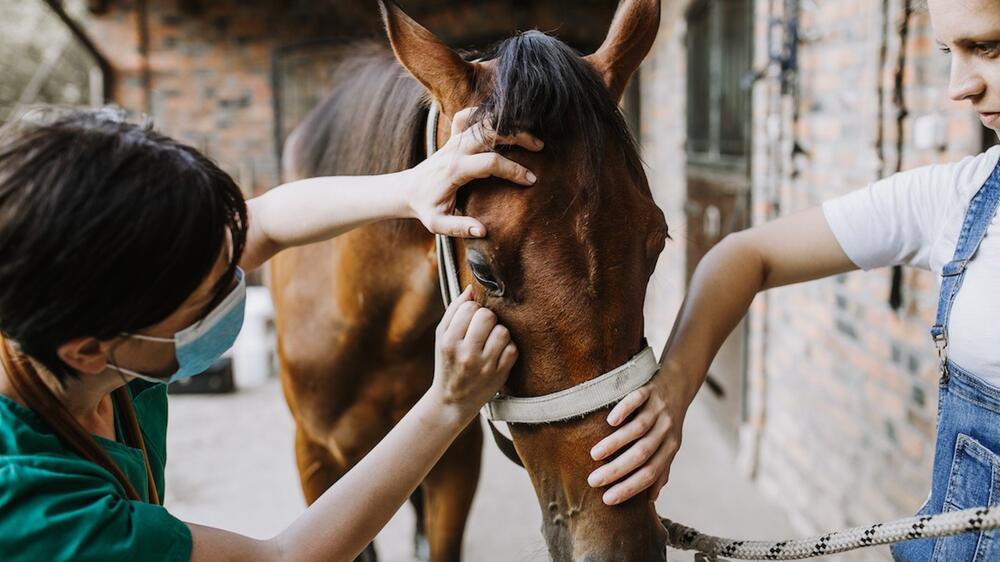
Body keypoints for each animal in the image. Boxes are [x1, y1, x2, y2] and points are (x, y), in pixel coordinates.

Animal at [270, 2, 668, 556]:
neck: (368, 315)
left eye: (659, 240)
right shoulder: (314, 460)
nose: (622, 547)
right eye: (483, 270)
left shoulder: (456, 454)